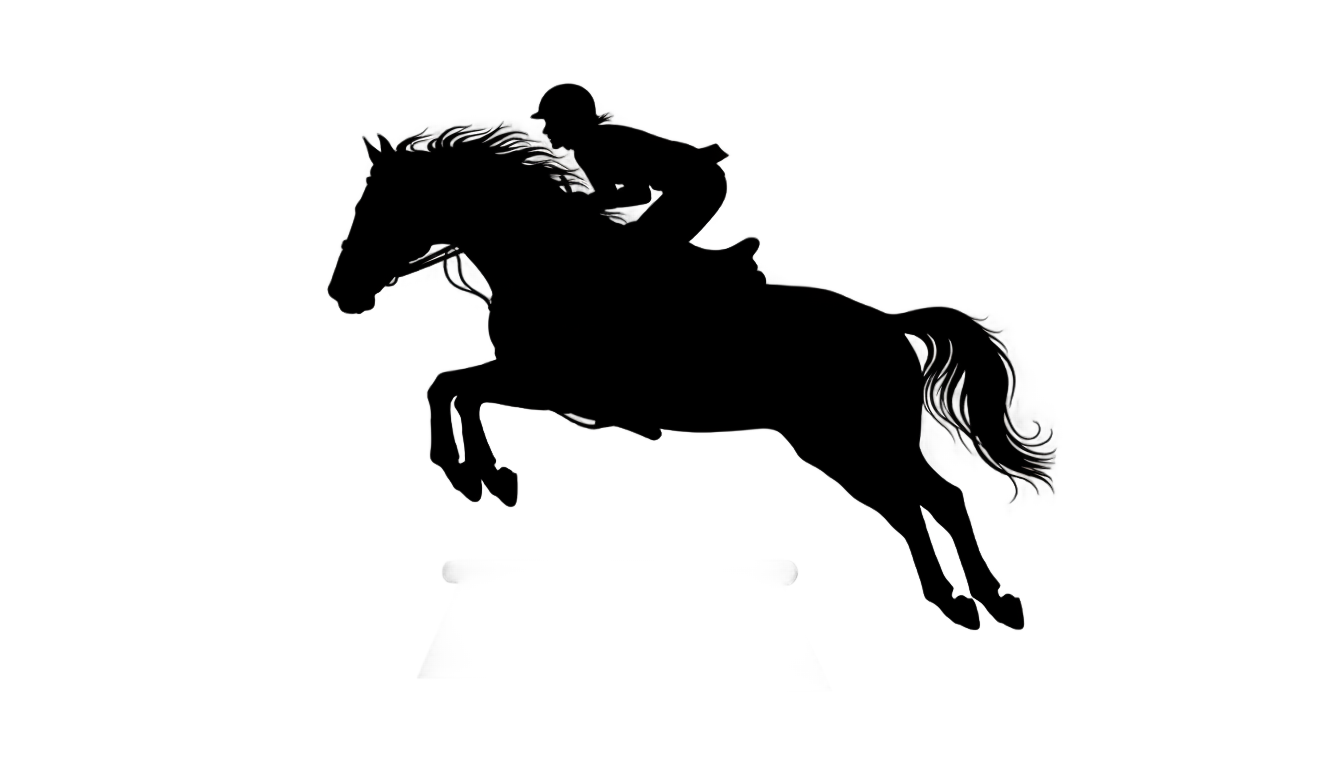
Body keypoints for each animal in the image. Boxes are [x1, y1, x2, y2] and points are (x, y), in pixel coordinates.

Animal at [326, 124, 1053, 630]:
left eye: (378, 209)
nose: (340, 291)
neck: (548, 260)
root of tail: (889, 325)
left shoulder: (551, 381)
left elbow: (454, 385)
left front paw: (479, 473)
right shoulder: (535, 378)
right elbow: (451, 384)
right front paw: (485, 475)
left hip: (851, 438)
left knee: (929, 501)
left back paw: (980, 601)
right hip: (844, 442)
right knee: (920, 503)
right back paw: (965, 601)